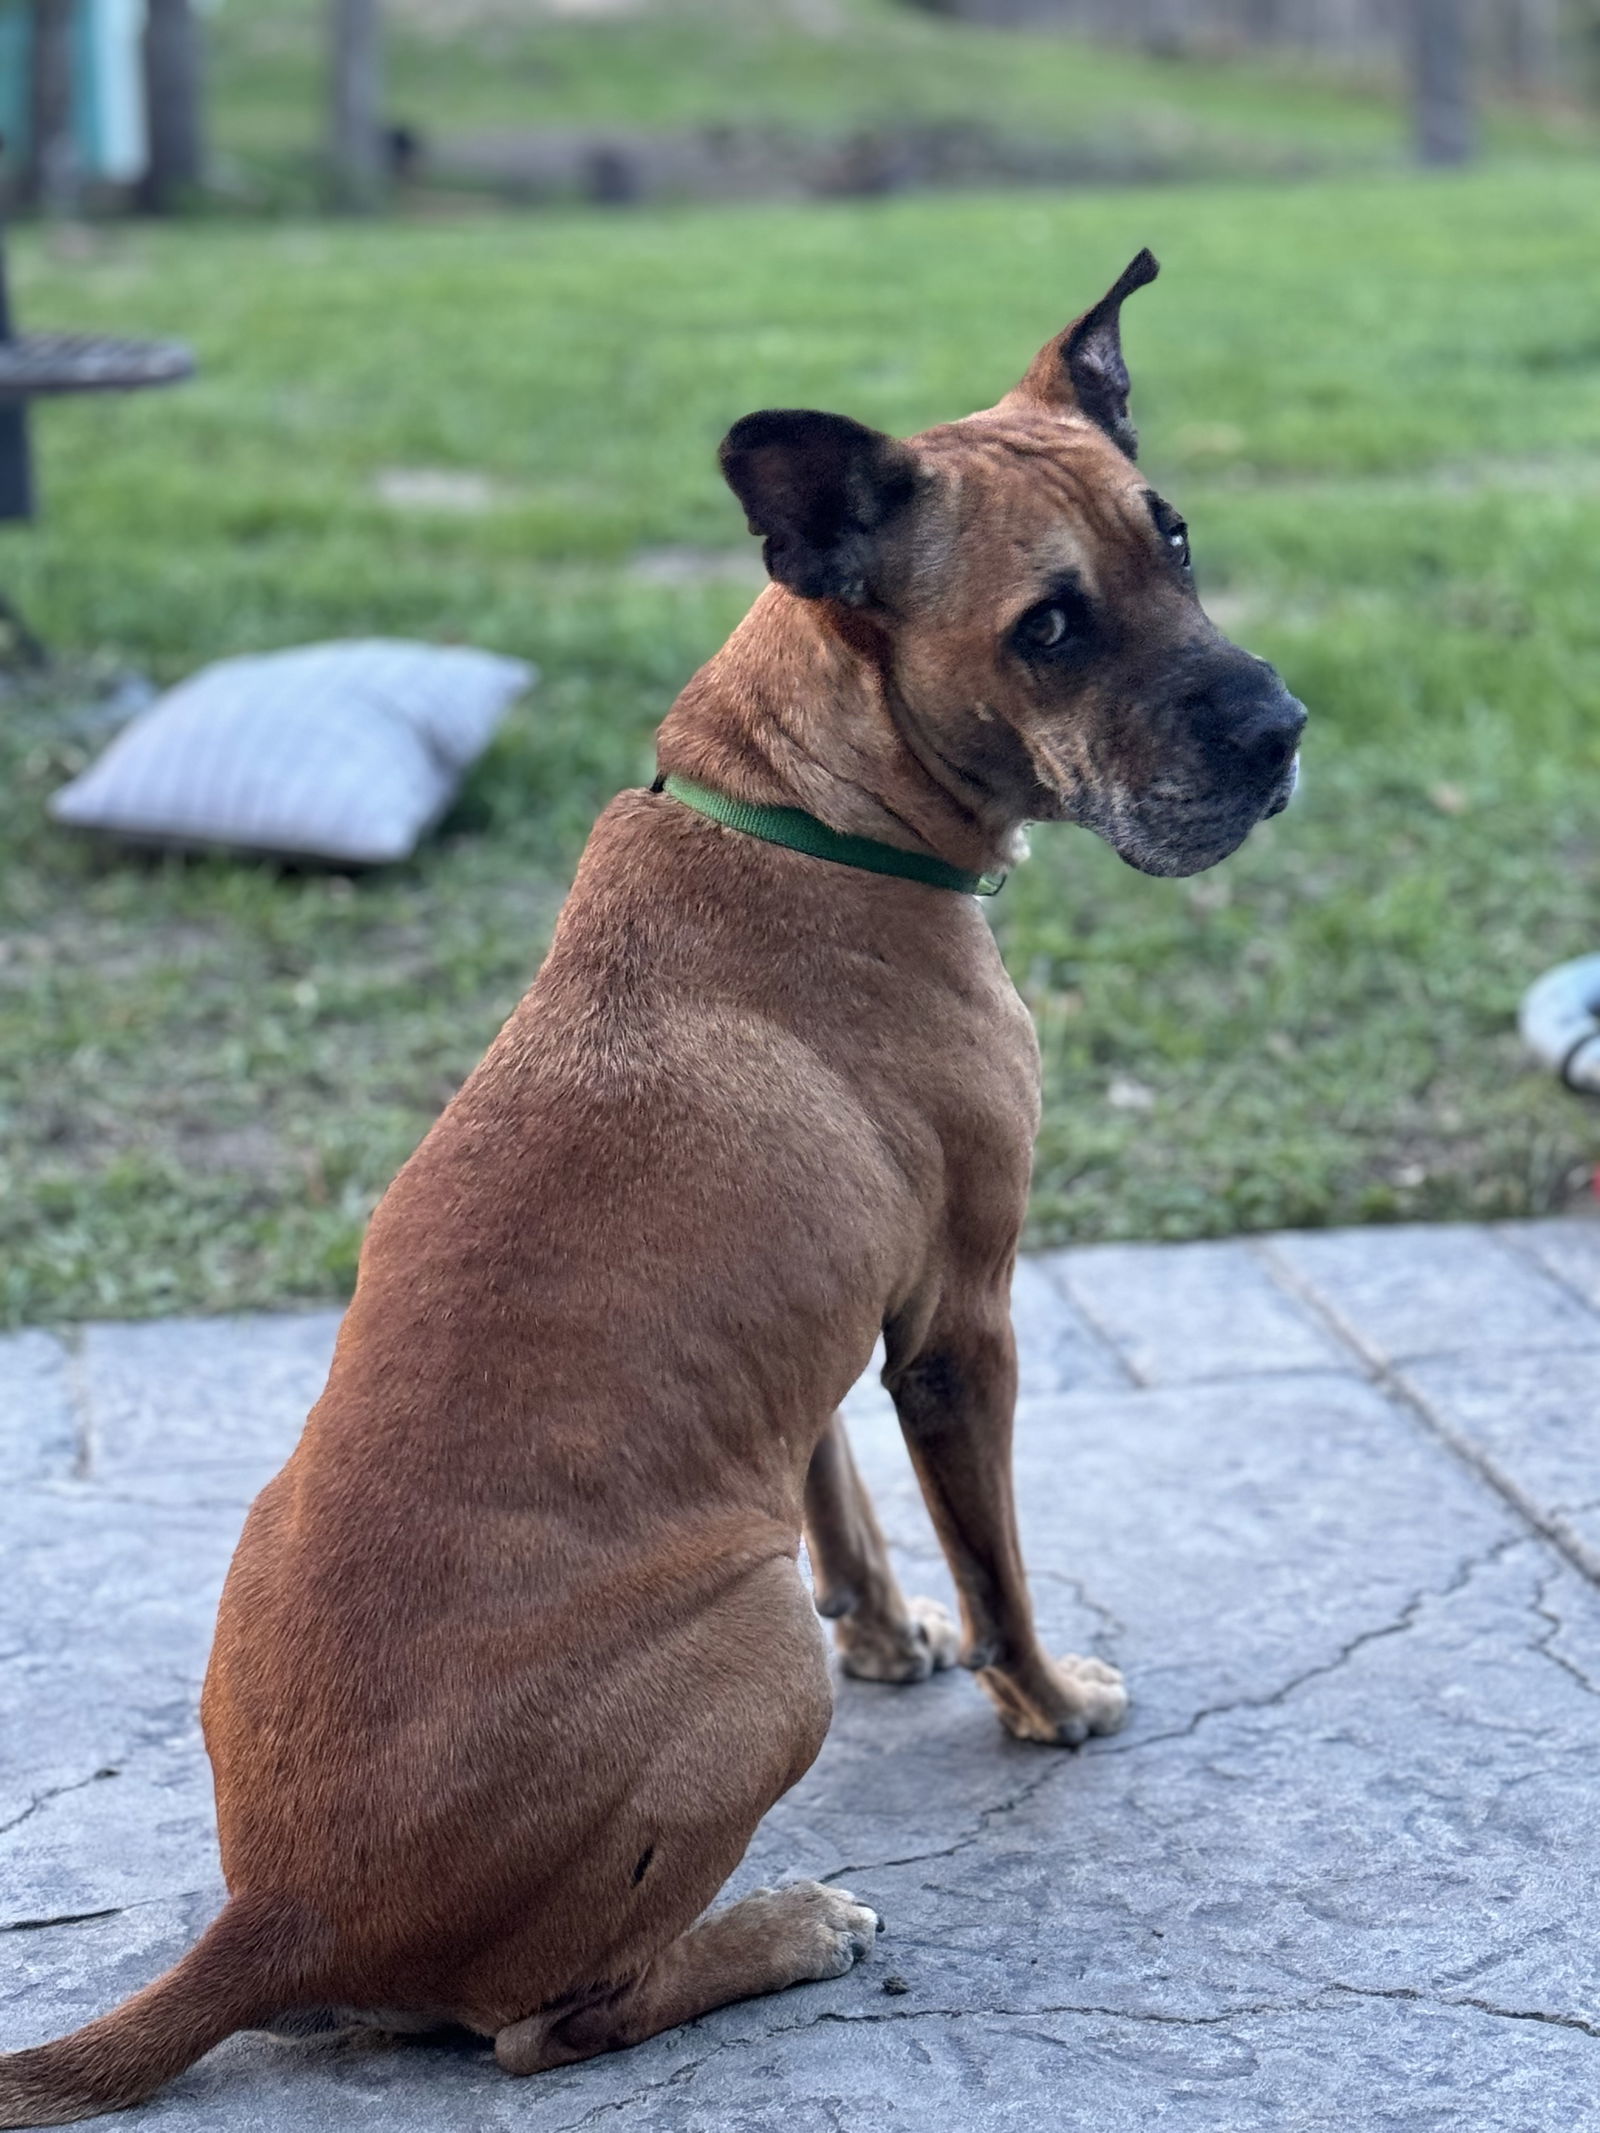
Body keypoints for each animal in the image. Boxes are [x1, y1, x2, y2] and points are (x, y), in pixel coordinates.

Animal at [0, 245, 1305, 2115]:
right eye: (1050, 626)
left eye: (1176, 540)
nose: (1283, 733)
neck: (805, 810)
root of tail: (278, 1913)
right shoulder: (961, 1325)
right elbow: (999, 1566)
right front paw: (1043, 1700)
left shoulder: (823, 1334)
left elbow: (836, 1490)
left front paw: (890, 1626)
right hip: (749, 1653)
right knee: (552, 2023)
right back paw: (778, 1928)